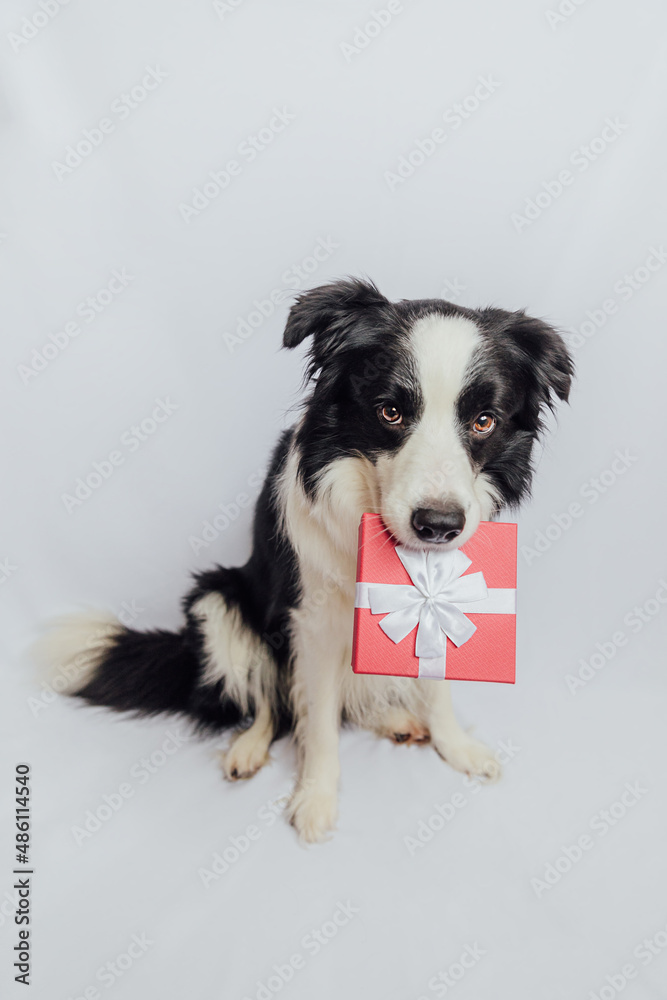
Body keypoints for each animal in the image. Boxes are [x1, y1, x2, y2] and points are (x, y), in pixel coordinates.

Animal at [40, 278, 576, 840]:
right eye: (390, 412)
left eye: (483, 421)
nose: (438, 525)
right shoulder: (312, 624)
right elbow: (315, 721)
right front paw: (316, 797)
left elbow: (436, 687)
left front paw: (457, 746)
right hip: (218, 599)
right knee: (269, 701)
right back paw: (249, 748)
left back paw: (395, 722)